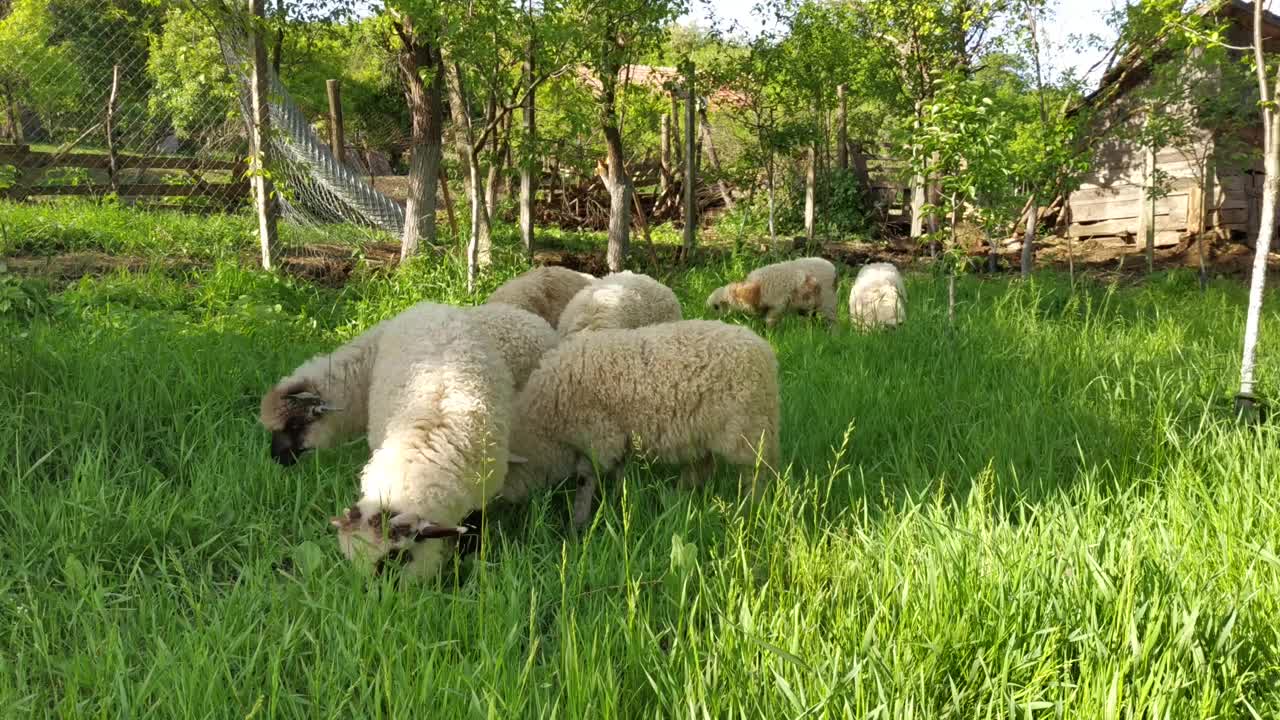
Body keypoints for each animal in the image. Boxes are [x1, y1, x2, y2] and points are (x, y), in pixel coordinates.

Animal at [499, 316, 778, 525]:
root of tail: (765, 351)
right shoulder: (617, 440)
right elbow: (619, 473)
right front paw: (620, 502)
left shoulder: (600, 439)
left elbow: (586, 480)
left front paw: (580, 521)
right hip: (707, 433)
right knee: (703, 467)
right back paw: (680, 497)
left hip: (749, 431)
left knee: (756, 473)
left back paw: (751, 508)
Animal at [701, 256, 839, 326]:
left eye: (716, 307)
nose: (707, 319)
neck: (755, 291)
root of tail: (833, 269)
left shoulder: (777, 305)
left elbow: (770, 322)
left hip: (828, 301)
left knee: (832, 321)